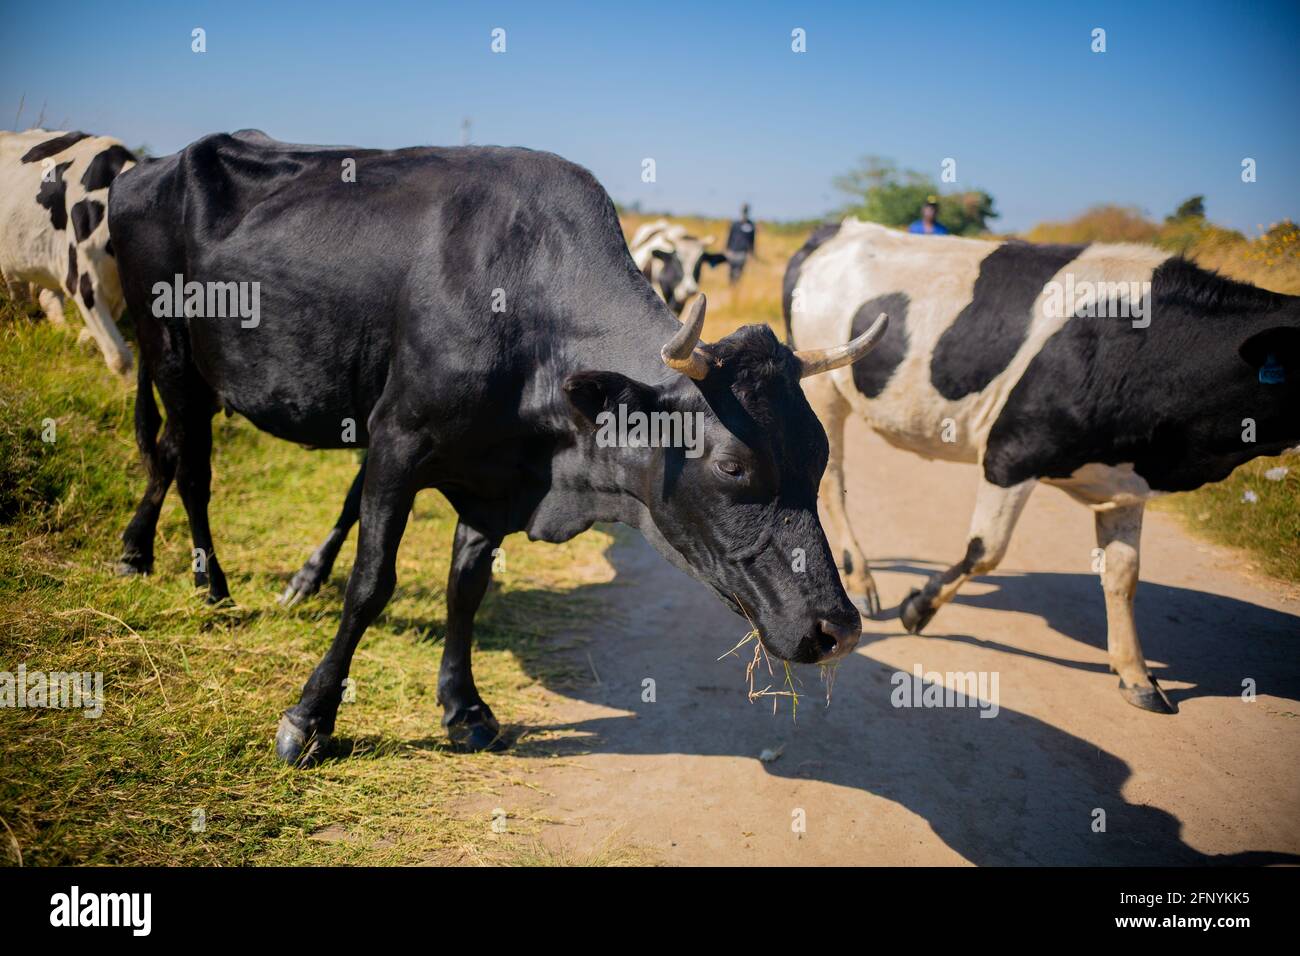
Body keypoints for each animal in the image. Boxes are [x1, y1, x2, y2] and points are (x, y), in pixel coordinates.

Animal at [0, 130, 136, 374]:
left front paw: (82, 339)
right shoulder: (83, 282)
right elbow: (120, 359)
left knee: (44, 297)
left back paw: (62, 331)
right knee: (21, 297)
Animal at [107, 131, 890, 764]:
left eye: (819, 457)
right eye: (732, 466)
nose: (839, 629)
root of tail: (151, 166)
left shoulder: (493, 483)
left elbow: (467, 587)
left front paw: (465, 708)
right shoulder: (398, 442)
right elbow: (371, 584)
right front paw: (311, 717)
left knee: (171, 452)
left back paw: (142, 553)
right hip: (169, 349)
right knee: (191, 463)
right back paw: (209, 586)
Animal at [785, 218, 1299, 714]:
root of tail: (839, 228)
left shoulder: (1126, 484)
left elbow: (1124, 575)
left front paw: (1136, 675)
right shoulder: (1011, 452)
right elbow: (986, 550)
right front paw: (918, 608)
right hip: (825, 389)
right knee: (833, 481)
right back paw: (863, 578)